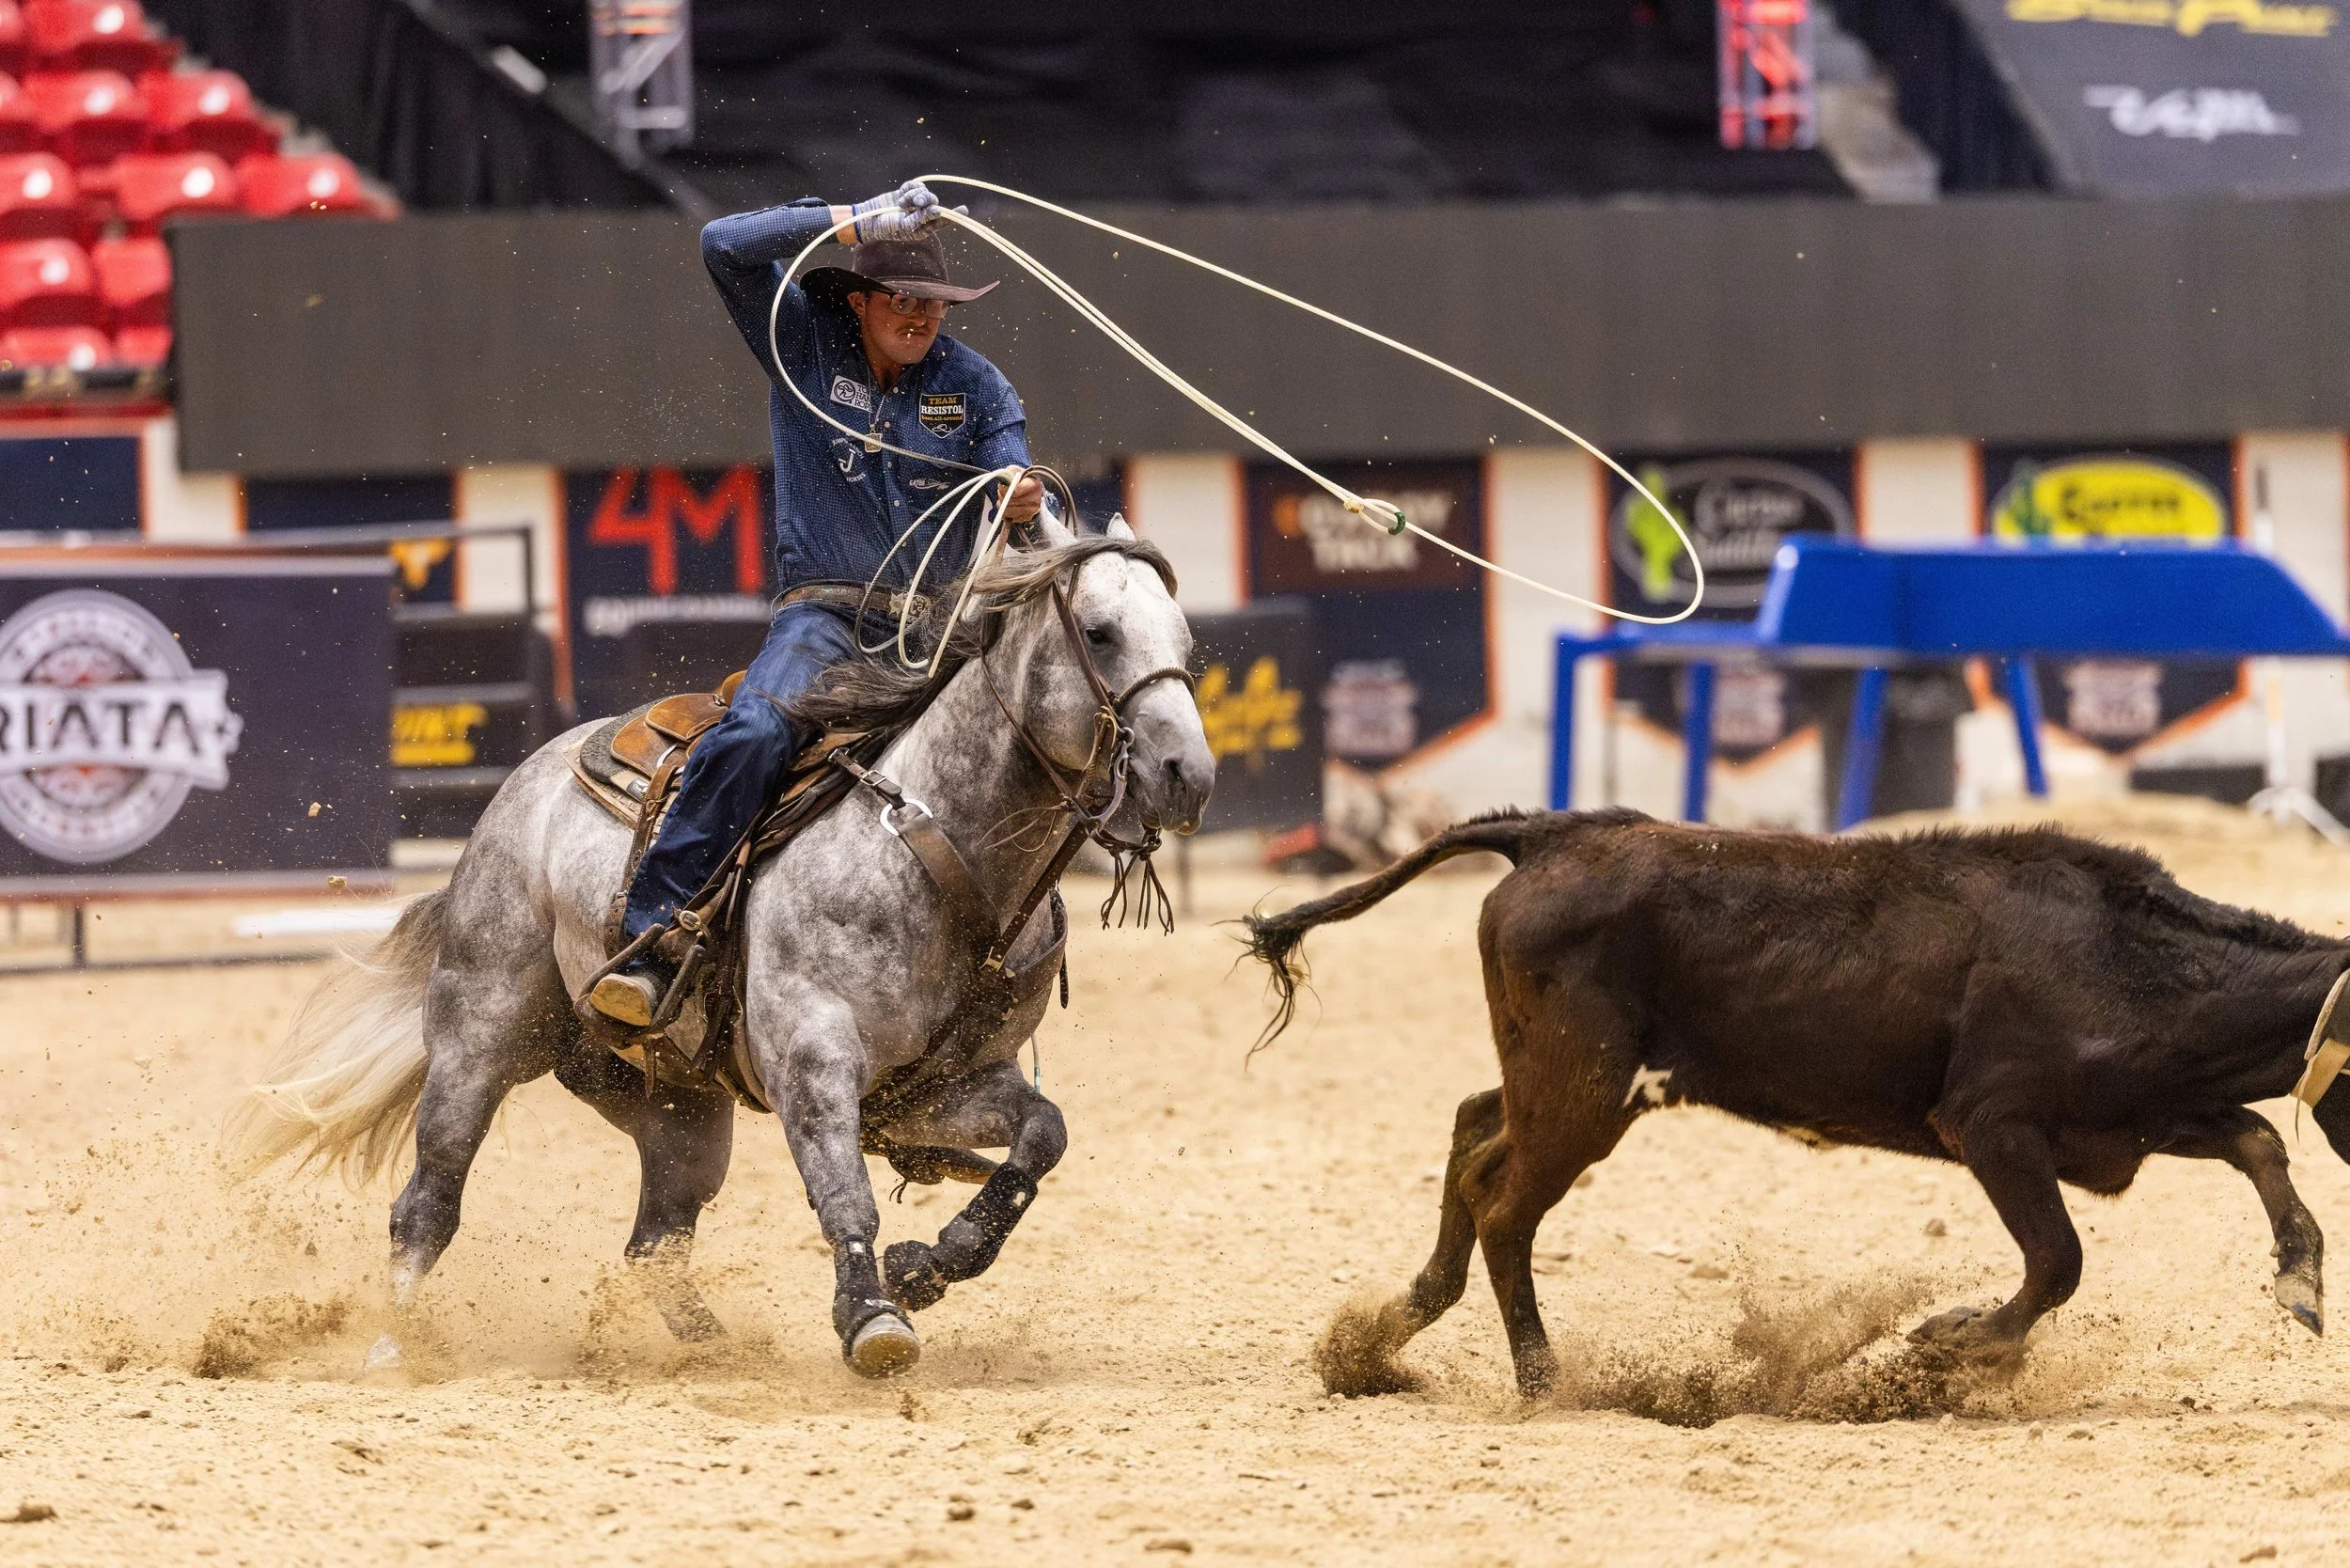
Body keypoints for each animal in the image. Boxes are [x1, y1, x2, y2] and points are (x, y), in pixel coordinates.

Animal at [227, 515, 1214, 1377]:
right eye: (1100, 631)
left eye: (1185, 637)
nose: (1188, 776)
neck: (935, 841)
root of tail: (528, 781)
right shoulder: (812, 1062)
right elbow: (842, 1188)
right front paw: (871, 1318)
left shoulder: (939, 1088)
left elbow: (1042, 1137)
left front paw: (927, 1264)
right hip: (482, 1036)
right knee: (428, 1202)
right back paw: (394, 1347)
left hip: (677, 1105)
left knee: (653, 1245)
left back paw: (721, 1350)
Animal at [1244, 807, 2350, 1399]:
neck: (2133, 960)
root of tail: (1560, 834)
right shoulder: (1993, 1127)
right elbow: (2059, 1259)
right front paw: (1952, 1346)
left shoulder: (2126, 1125)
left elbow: (2257, 1139)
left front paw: (2298, 1282)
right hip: (1584, 1093)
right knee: (1507, 1204)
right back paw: (1544, 1385)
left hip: (1567, 1082)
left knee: (1476, 1133)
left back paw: (1382, 1334)